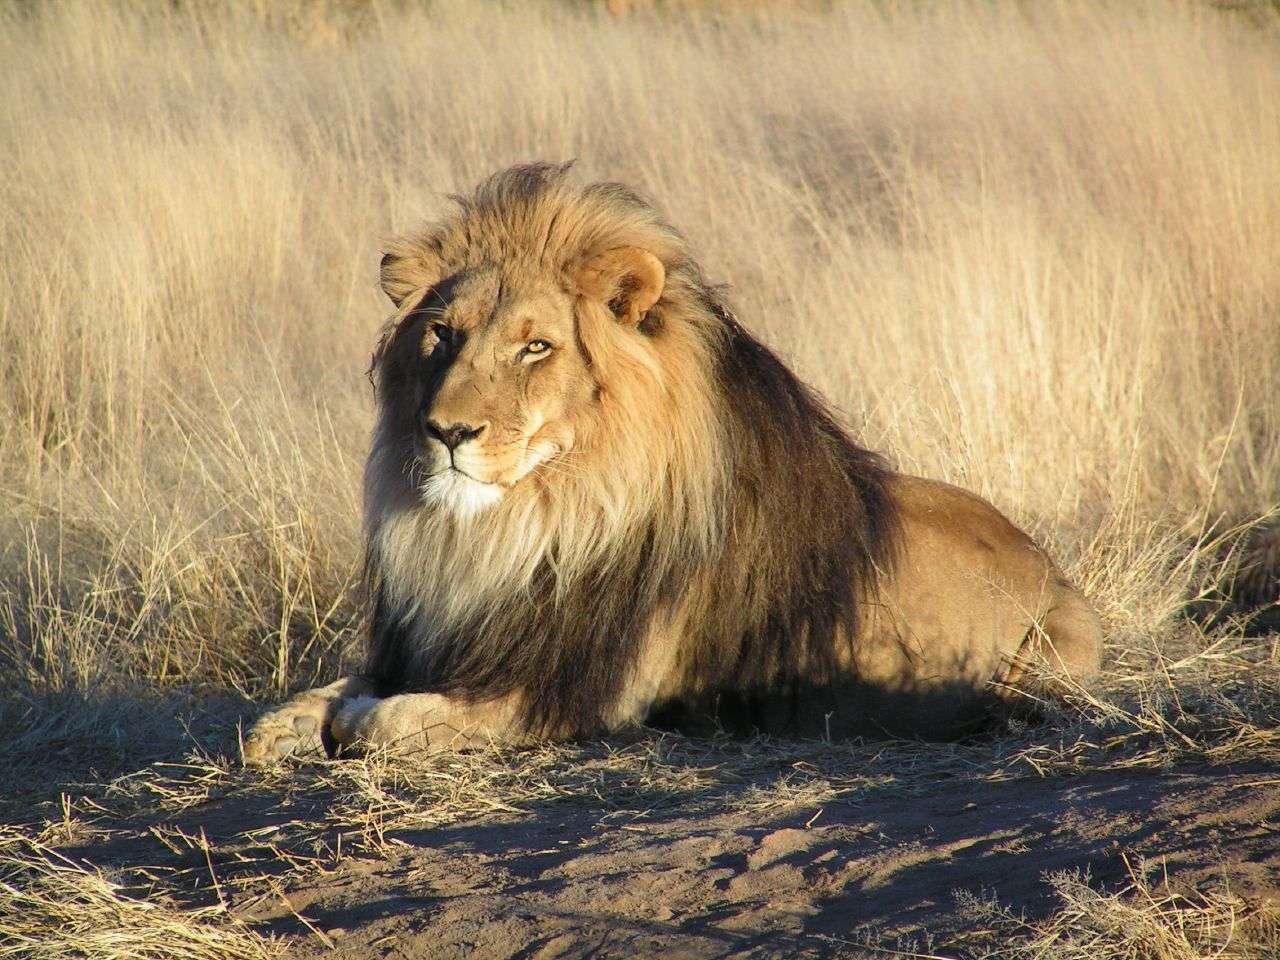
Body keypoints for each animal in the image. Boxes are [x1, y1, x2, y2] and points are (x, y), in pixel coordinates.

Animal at [243, 163, 1102, 765]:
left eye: (535, 346)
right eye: (443, 335)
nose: (447, 431)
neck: (520, 526)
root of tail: (1050, 565)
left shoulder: (576, 692)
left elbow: (385, 721)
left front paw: (352, 721)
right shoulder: (439, 642)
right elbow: (312, 701)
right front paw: (287, 725)